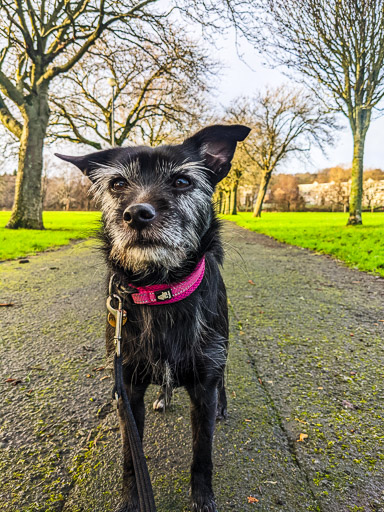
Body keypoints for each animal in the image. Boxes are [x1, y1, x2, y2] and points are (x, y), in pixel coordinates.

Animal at [55, 125, 250, 512]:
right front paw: (132, 500)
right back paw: (165, 395)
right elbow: (132, 456)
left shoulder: (203, 386)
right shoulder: (128, 388)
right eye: (117, 184)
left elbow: (202, 454)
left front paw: (202, 499)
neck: (161, 290)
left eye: (182, 181)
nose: (136, 214)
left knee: (223, 377)